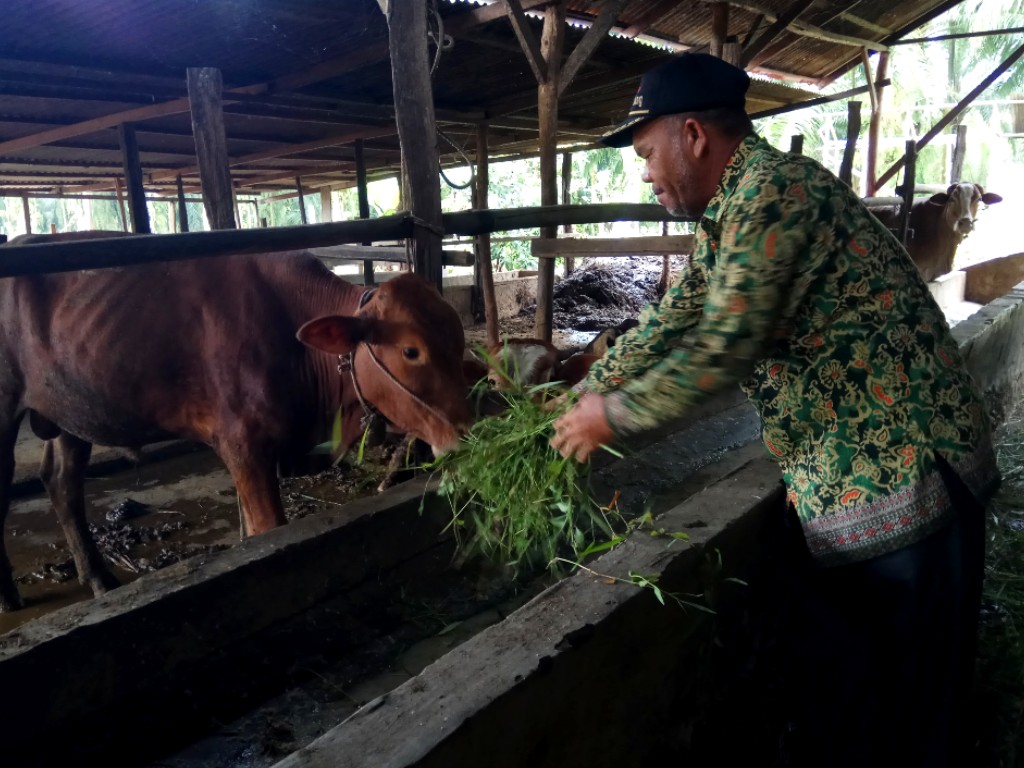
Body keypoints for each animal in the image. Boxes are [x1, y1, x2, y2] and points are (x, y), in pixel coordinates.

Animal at [0, 234, 471, 614]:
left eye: (459, 337)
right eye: (411, 351)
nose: (467, 436)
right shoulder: (244, 445)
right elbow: (269, 531)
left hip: (71, 414)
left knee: (62, 483)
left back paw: (97, 577)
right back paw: (12, 597)